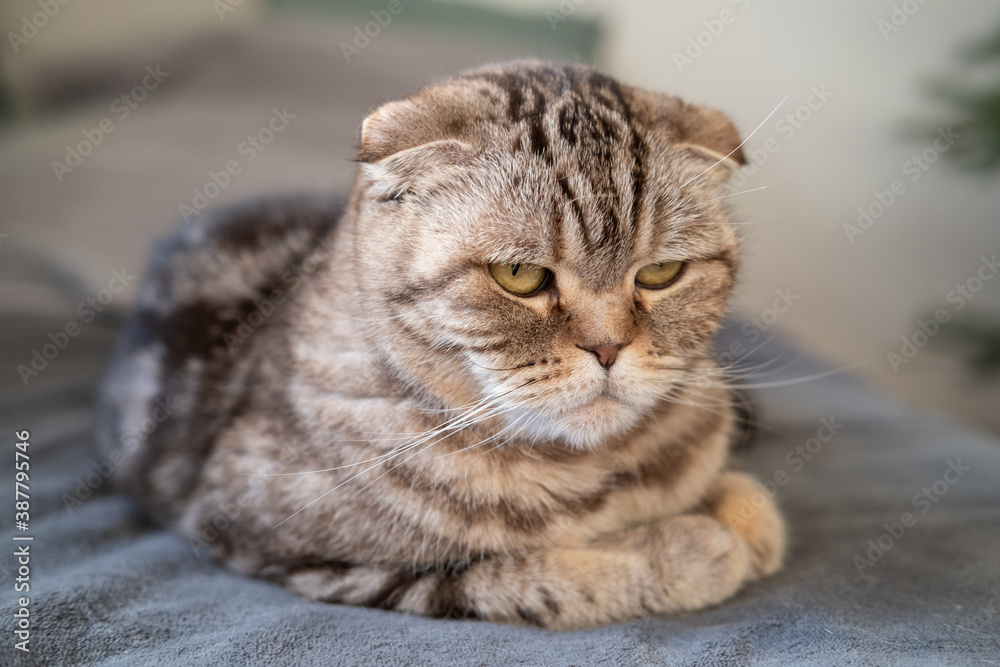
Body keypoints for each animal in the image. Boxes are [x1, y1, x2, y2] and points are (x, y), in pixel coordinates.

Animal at [99, 60, 788, 628]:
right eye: (520, 275)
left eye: (660, 273)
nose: (609, 349)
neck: (596, 468)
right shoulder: (307, 558)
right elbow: (537, 576)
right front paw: (695, 548)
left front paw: (746, 515)